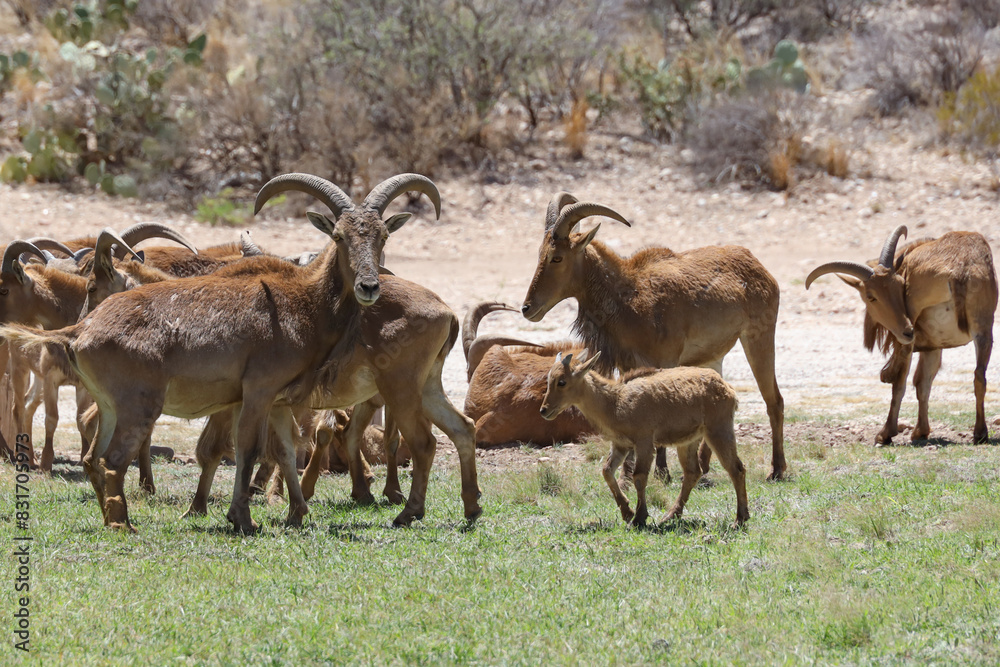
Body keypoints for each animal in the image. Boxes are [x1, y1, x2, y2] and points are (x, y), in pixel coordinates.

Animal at [1, 172, 481, 533]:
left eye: (381, 236)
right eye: (340, 235)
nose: (369, 286)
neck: (301, 302)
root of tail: (82, 330)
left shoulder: (276, 400)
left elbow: (278, 449)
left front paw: (290, 514)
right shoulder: (258, 393)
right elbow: (250, 450)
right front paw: (245, 518)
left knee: (452, 431)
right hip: (138, 406)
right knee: (109, 458)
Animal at [521, 192, 786, 480]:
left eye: (557, 258)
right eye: (539, 255)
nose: (527, 308)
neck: (627, 296)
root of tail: (759, 267)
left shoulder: (665, 360)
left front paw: (661, 471)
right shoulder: (628, 363)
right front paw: (627, 472)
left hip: (759, 336)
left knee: (774, 400)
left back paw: (777, 469)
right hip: (712, 357)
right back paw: (704, 465)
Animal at [540, 350, 749, 528]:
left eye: (562, 382)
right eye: (549, 380)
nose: (544, 410)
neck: (615, 402)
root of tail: (728, 389)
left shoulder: (644, 441)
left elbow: (639, 476)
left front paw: (639, 517)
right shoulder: (621, 444)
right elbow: (607, 471)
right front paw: (627, 512)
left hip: (719, 430)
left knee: (736, 469)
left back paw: (740, 519)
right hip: (689, 441)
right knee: (692, 473)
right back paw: (670, 515)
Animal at [806, 225, 998, 444]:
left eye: (900, 285)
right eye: (872, 296)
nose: (907, 329)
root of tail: (959, 270)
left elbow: (910, 382)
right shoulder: (934, 344)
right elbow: (924, 383)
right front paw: (921, 431)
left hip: (910, 334)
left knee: (900, 381)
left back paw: (885, 430)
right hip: (983, 328)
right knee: (979, 376)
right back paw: (980, 433)